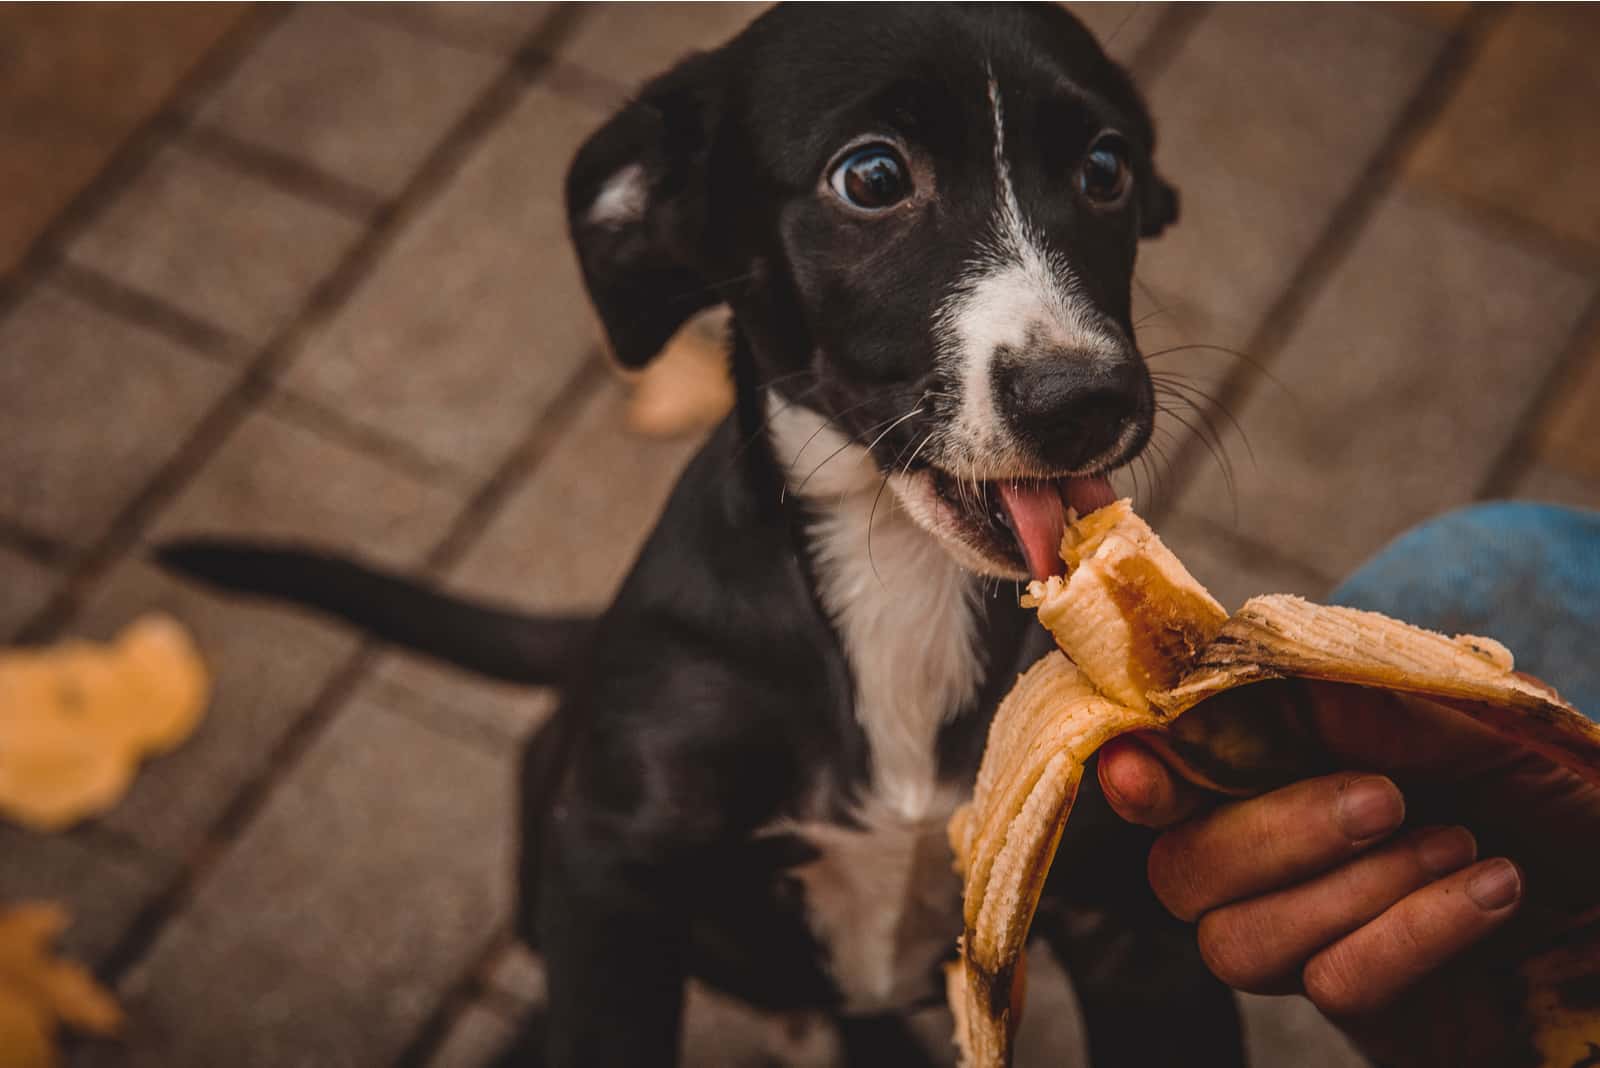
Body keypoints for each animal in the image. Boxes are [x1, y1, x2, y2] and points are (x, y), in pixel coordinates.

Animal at [168, 4, 1241, 1061]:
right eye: (873, 176)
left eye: (1107, 168)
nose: (1085, 400)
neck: (897, 570)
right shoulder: (608, 870)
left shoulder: (1134, 928)